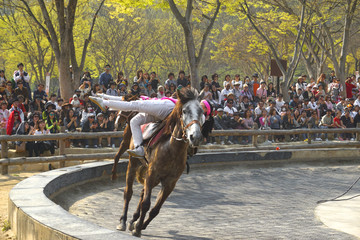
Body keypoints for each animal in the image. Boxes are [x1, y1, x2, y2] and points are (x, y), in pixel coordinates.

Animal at [116, 87, 204, 236]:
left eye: (201, 111)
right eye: (184, 111)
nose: (195, 136)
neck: (172, 148)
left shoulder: (170, 182)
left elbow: (155, 209)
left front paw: (140, 225)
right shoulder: (152, 174)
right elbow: (146, 203)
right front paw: (137, 229)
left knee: (142, 193)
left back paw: (133, 220)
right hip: (133, 163)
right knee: (128, 193)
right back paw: (123, 221)